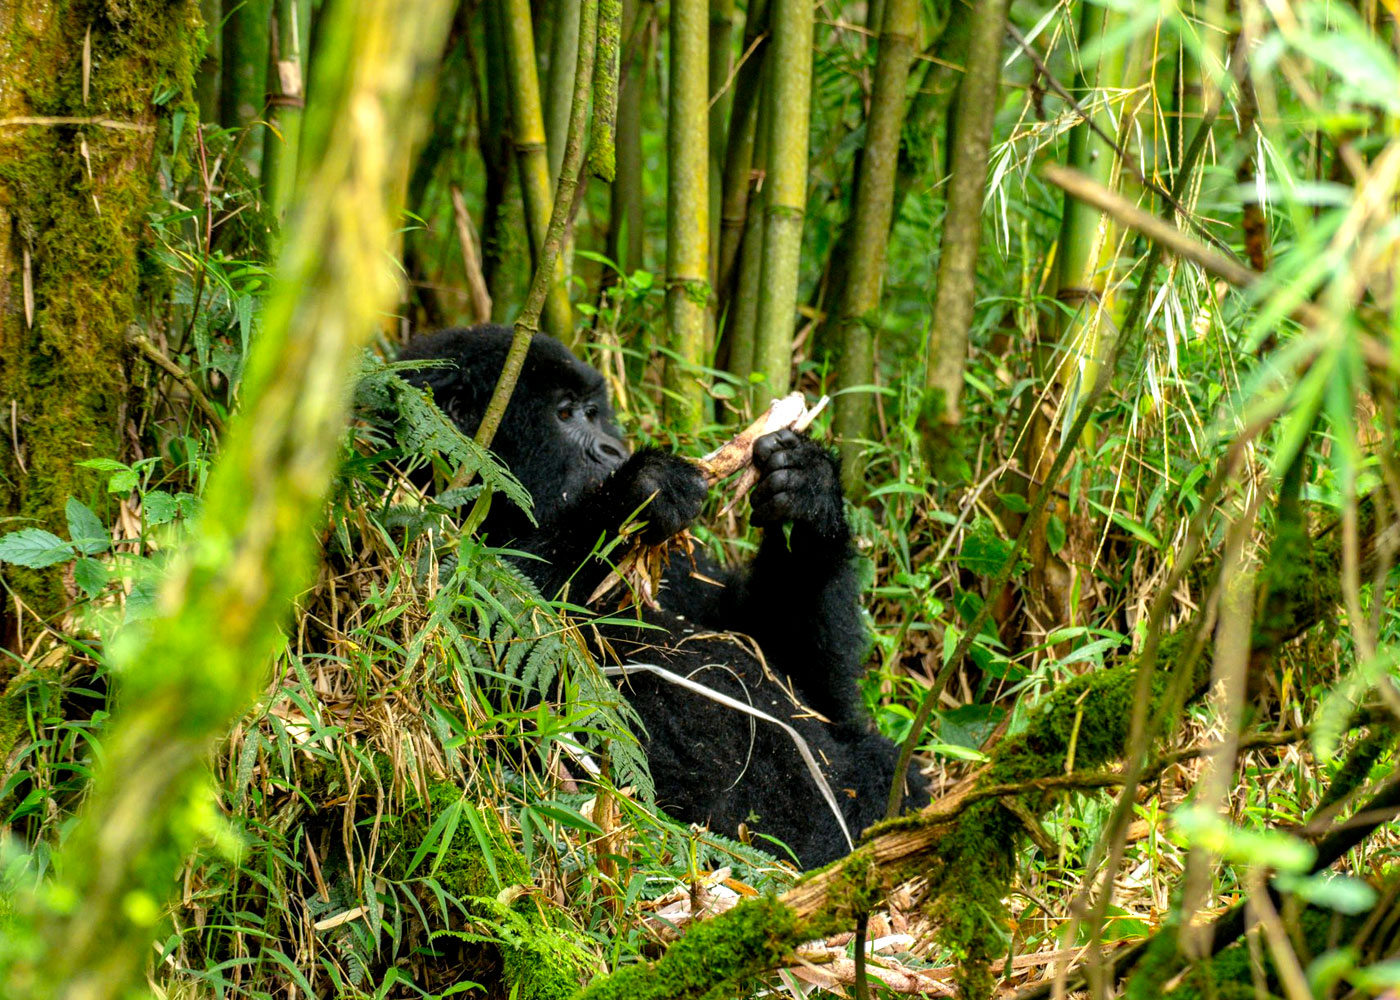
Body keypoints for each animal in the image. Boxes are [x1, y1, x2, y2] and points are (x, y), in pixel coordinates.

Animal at [400, 323, 924, 862]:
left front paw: (810, 492)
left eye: (593, 412)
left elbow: (809, 682)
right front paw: (638, 490)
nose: (612, 450)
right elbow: (493, 633)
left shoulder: (684, 571)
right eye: (564, 415)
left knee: (884, 765)